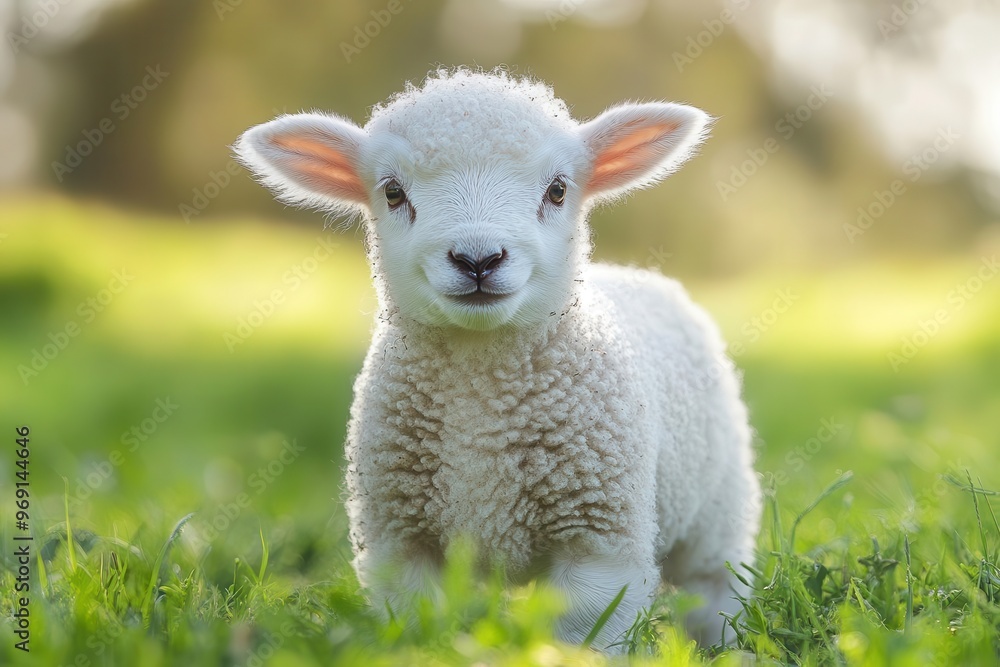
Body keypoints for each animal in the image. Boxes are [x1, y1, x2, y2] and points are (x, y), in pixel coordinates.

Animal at [235, 69, 761, 652]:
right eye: (393, 191)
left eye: (557, 190)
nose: (478, 258)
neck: (480, 388)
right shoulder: (399, 537)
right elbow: (416, 622)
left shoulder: (600, 540)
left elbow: (584, 633)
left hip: (718, 502)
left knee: (714, 584)